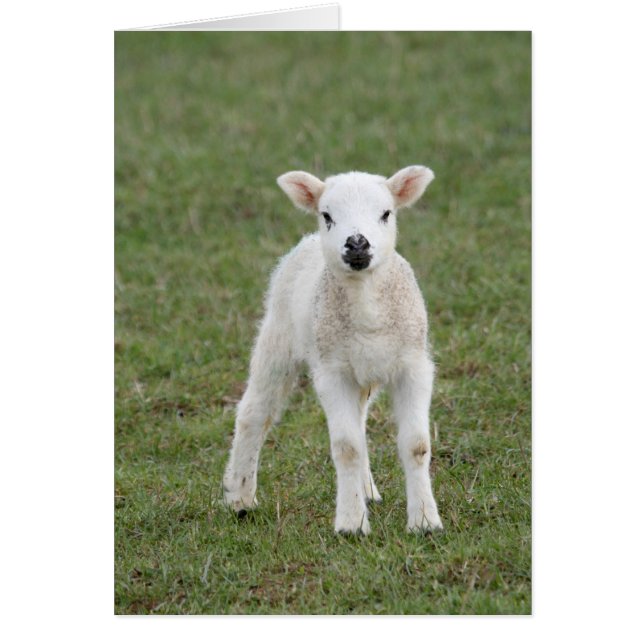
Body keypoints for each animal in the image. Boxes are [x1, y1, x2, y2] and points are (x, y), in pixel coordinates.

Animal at [223, 166, 443, 535]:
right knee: (254, 412)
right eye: (327, 215)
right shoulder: (332, 372)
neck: (367, 304)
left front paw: (425, 521)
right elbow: (346, 447)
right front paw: (352, 523)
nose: (356, 243)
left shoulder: (412, 365)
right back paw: (239, 498)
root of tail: (308, 242)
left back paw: (367, 491)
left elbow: (416, 444)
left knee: (360, 420)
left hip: (362, 371)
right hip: (279, 336)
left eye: (386, 213)